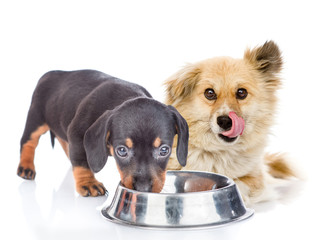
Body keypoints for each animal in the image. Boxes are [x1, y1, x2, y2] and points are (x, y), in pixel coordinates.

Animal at [18, 68, 188, 196]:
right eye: (122, 151)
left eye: (164, 150)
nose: (143, 189)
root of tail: (50, 73)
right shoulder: (78, 135)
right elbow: (82, 162)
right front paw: (88, 183)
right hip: (36, 118)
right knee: (28, 141)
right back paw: (26, 167)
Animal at [165, 40, 296, 204]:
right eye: (209, 93)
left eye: (241, 92)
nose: (225, 122)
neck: (218, 152)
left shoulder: (256, 178)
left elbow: (239, 182)